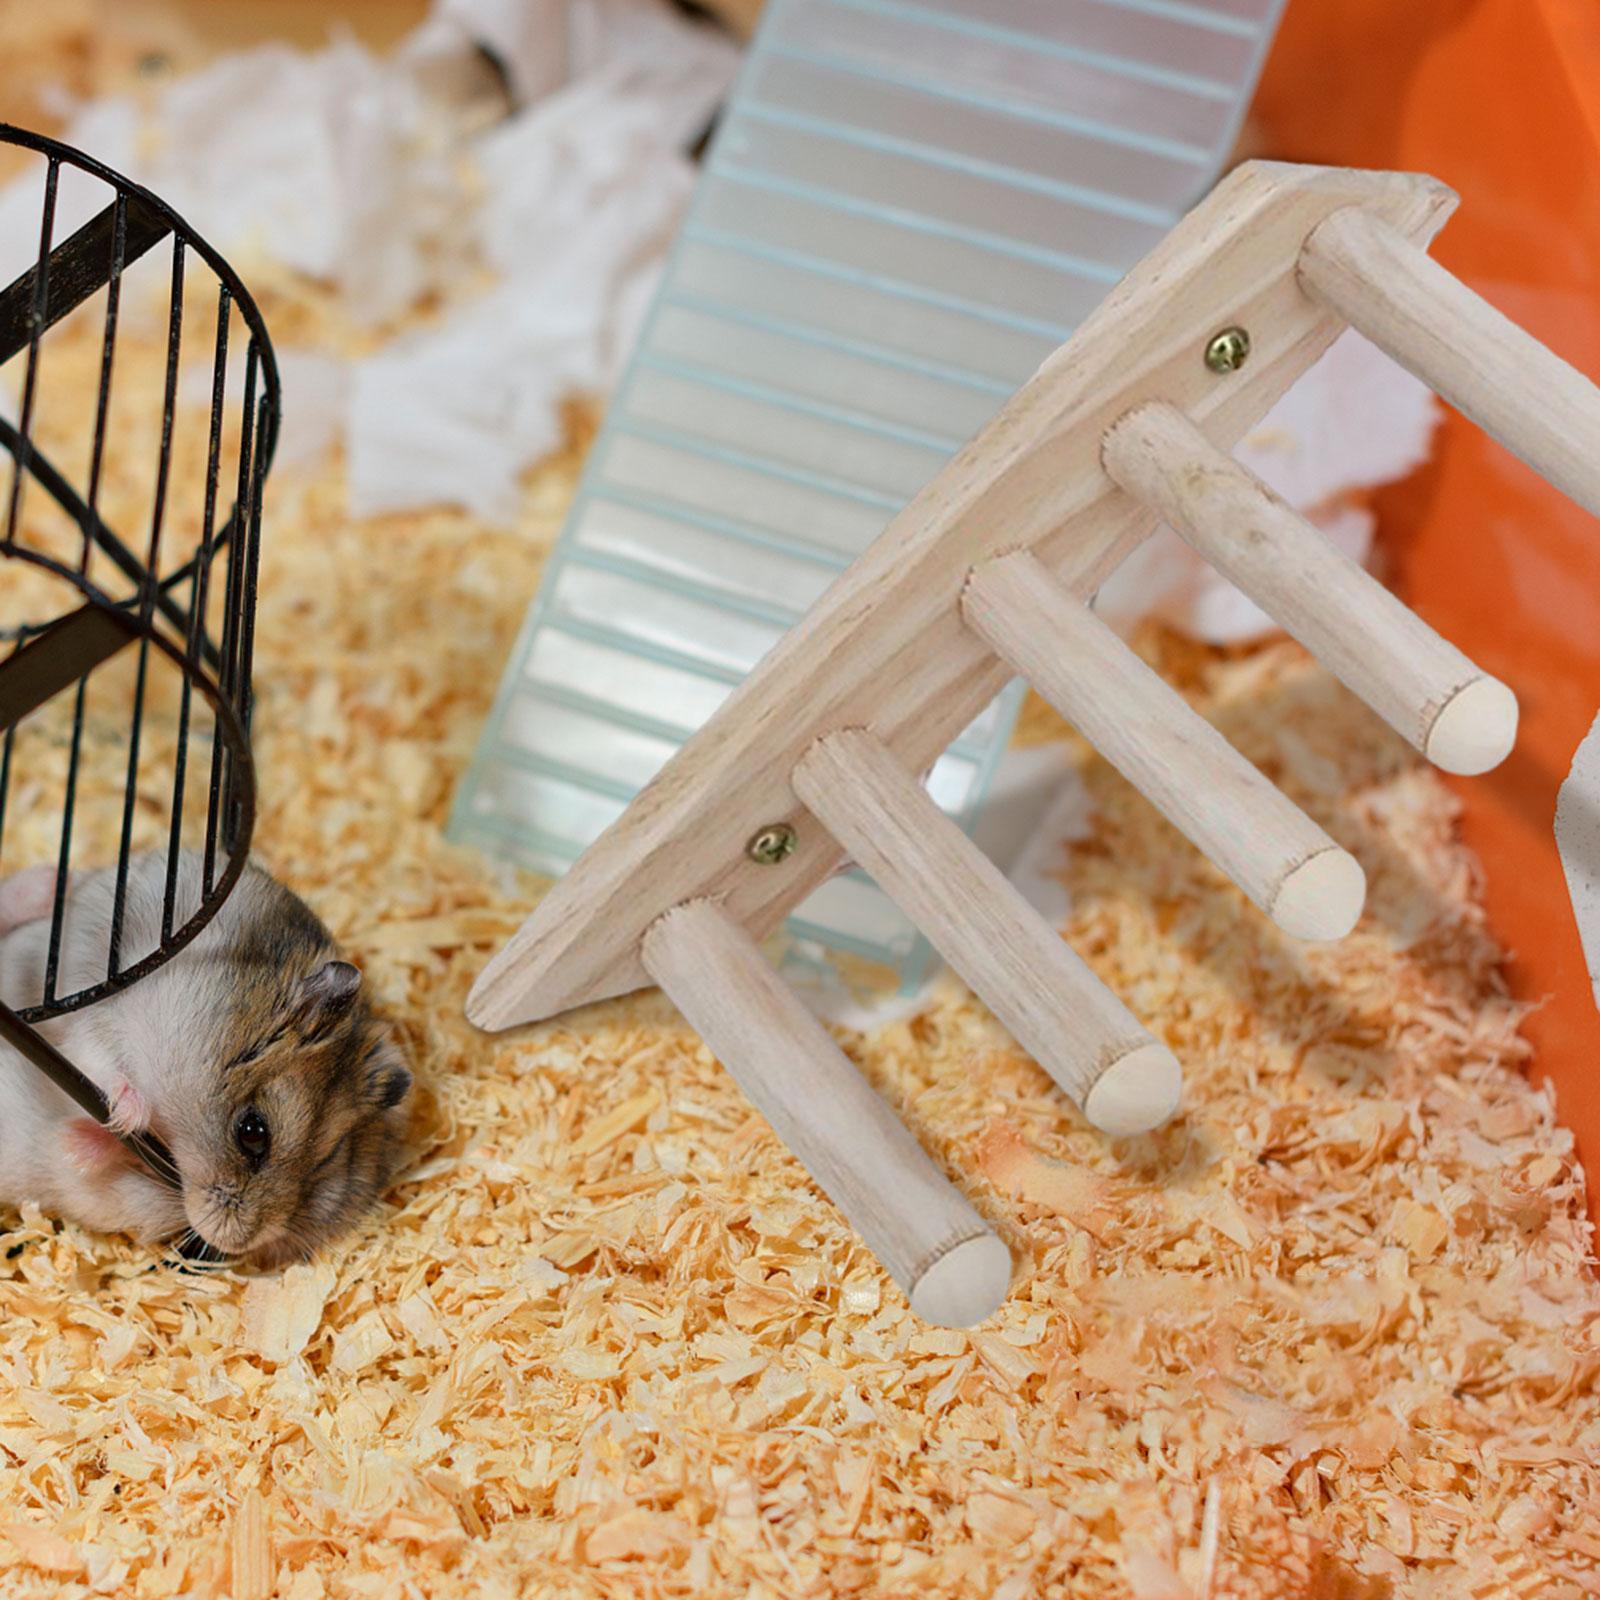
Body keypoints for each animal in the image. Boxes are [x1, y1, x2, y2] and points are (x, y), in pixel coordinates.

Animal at [0, 851, 412, 1266]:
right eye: (252, 1132)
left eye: (327, 1162)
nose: (239, 1242)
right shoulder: (97, 1016)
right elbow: (99, 1062)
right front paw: (128, 1114)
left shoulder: (117, 1196)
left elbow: (84, 1163)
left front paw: (82, 1141)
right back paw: (47, 881)